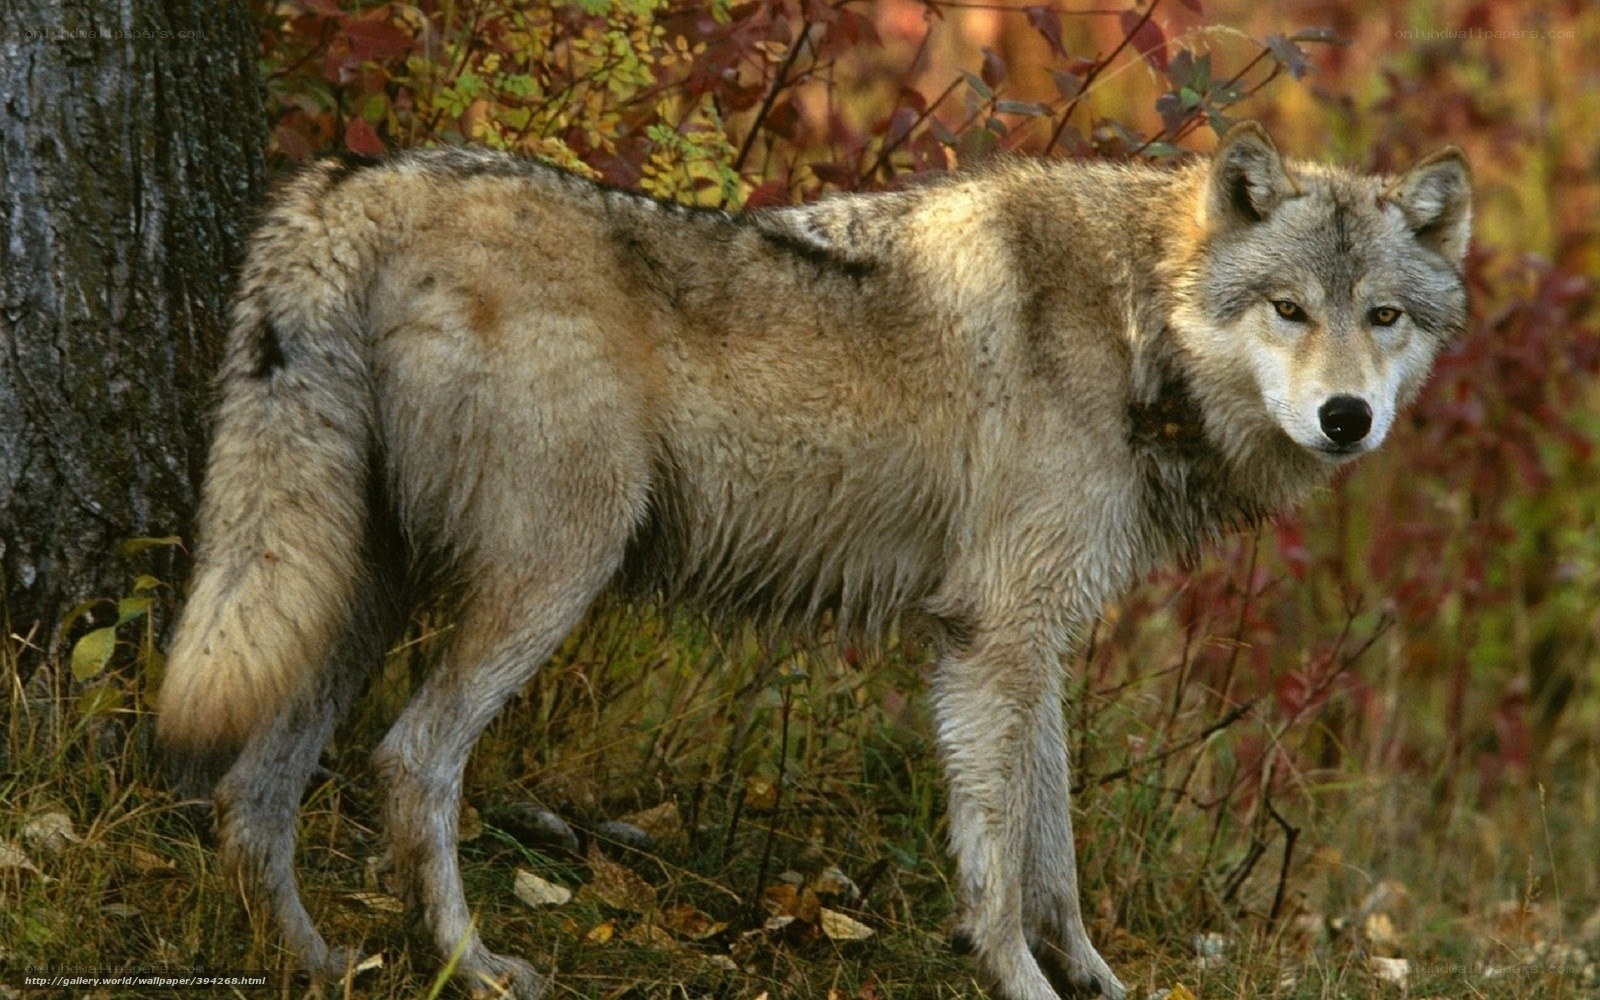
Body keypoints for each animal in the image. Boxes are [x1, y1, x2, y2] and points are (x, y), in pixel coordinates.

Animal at [157, 122, 1470, 999]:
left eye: (1384, 318)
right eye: (1289, 309)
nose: (1347, 417)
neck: (1135, 321)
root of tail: (357, 181)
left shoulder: (1026, 640)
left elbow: (1052, 852)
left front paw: (1092, 978)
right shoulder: (992, 637)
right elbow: (999, 868)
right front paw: (1021, 981)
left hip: (352, 593)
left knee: (251, 792)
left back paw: (312, 958)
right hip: (545, 581)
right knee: (410, 760)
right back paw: (472, 965)